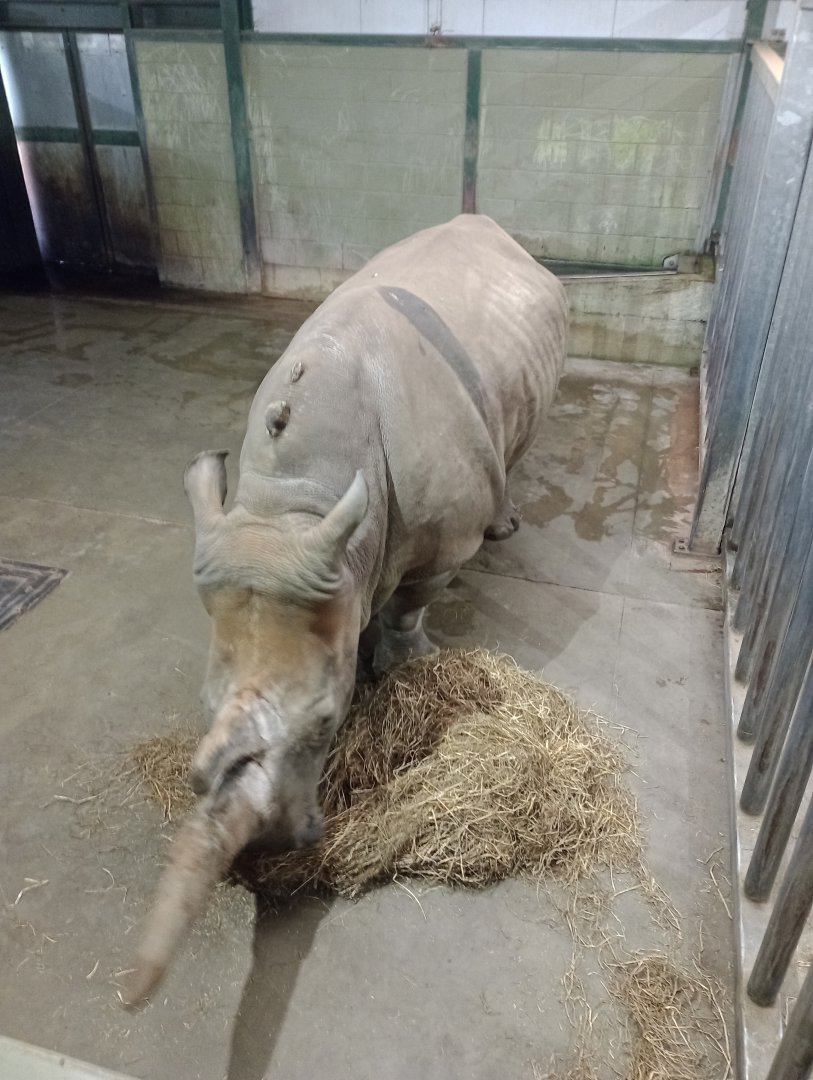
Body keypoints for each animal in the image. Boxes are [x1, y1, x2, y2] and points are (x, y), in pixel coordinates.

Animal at [122, 215, 567, 1006]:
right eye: (203, 703)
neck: (296, 506)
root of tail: (497, 233)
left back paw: (505, 528)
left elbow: (411, 602)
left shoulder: (437, 545)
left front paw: (405, 667)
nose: (275, 845)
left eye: (328, 722)